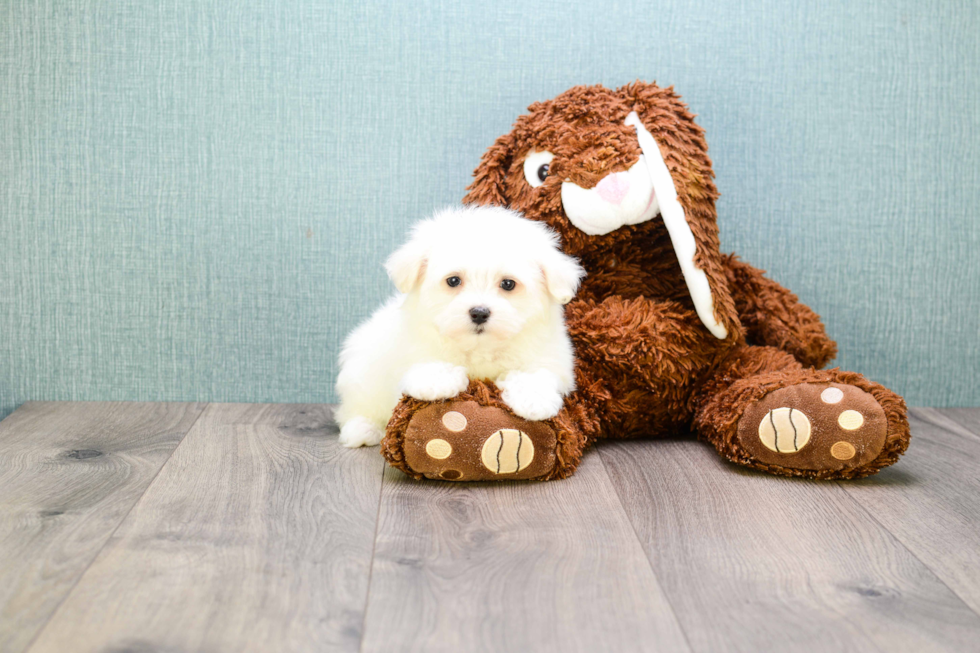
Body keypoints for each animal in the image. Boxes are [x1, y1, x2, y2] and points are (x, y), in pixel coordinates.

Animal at [334, 205, 584, 448]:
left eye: (508, 284)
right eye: (453, 280)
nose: (479, 312)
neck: (479, 347)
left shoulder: (549, 353)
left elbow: (536, 371)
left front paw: (533, 399)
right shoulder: (411, 345)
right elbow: (424, 359)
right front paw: (437, 381)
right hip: (362, 374)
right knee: (356, 408)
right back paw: (362, 429)